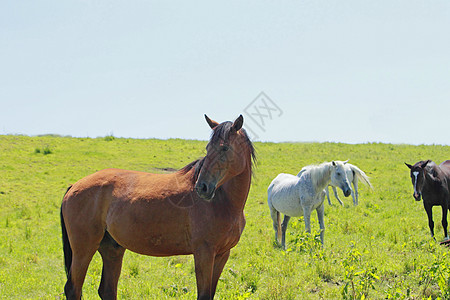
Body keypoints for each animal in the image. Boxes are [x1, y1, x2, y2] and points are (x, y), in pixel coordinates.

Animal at [61, 113, 255, 298]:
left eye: (225, 148)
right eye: (208, 148)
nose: (202, 187)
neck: (223, 204)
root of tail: (74, 186)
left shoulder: (222, 254)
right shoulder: (204, 253)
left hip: (112, 249)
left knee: (107, 290)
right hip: (84, 249)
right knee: (73, 289)